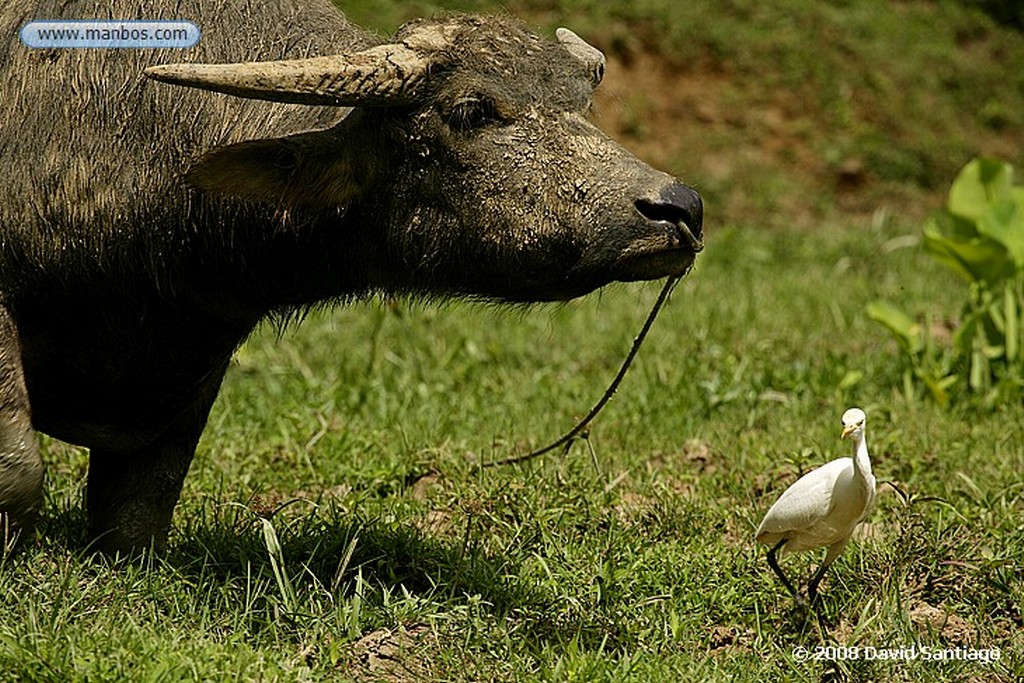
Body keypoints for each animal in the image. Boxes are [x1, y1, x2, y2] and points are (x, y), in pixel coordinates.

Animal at [0, 1, 700, 557]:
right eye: (471, 110)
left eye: (581, 106)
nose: (680, 208)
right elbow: (21, 474)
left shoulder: (195, 363)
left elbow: (142, 503)